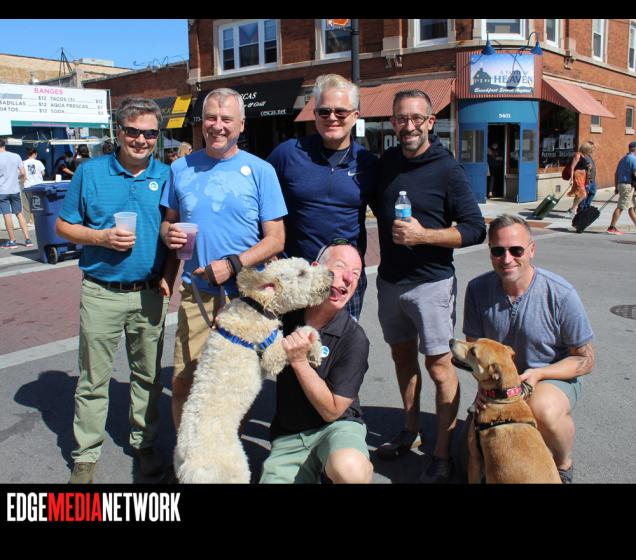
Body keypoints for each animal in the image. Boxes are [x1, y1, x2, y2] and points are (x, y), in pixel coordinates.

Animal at [175, 257, 333, 484]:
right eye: (302, 273)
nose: (331, 274)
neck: (259, 306)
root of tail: (189, 467)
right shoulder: (272, 355)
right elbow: (305, 331)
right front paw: (316, 351)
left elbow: (308, 330)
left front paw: (315, 352)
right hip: (235, 471)